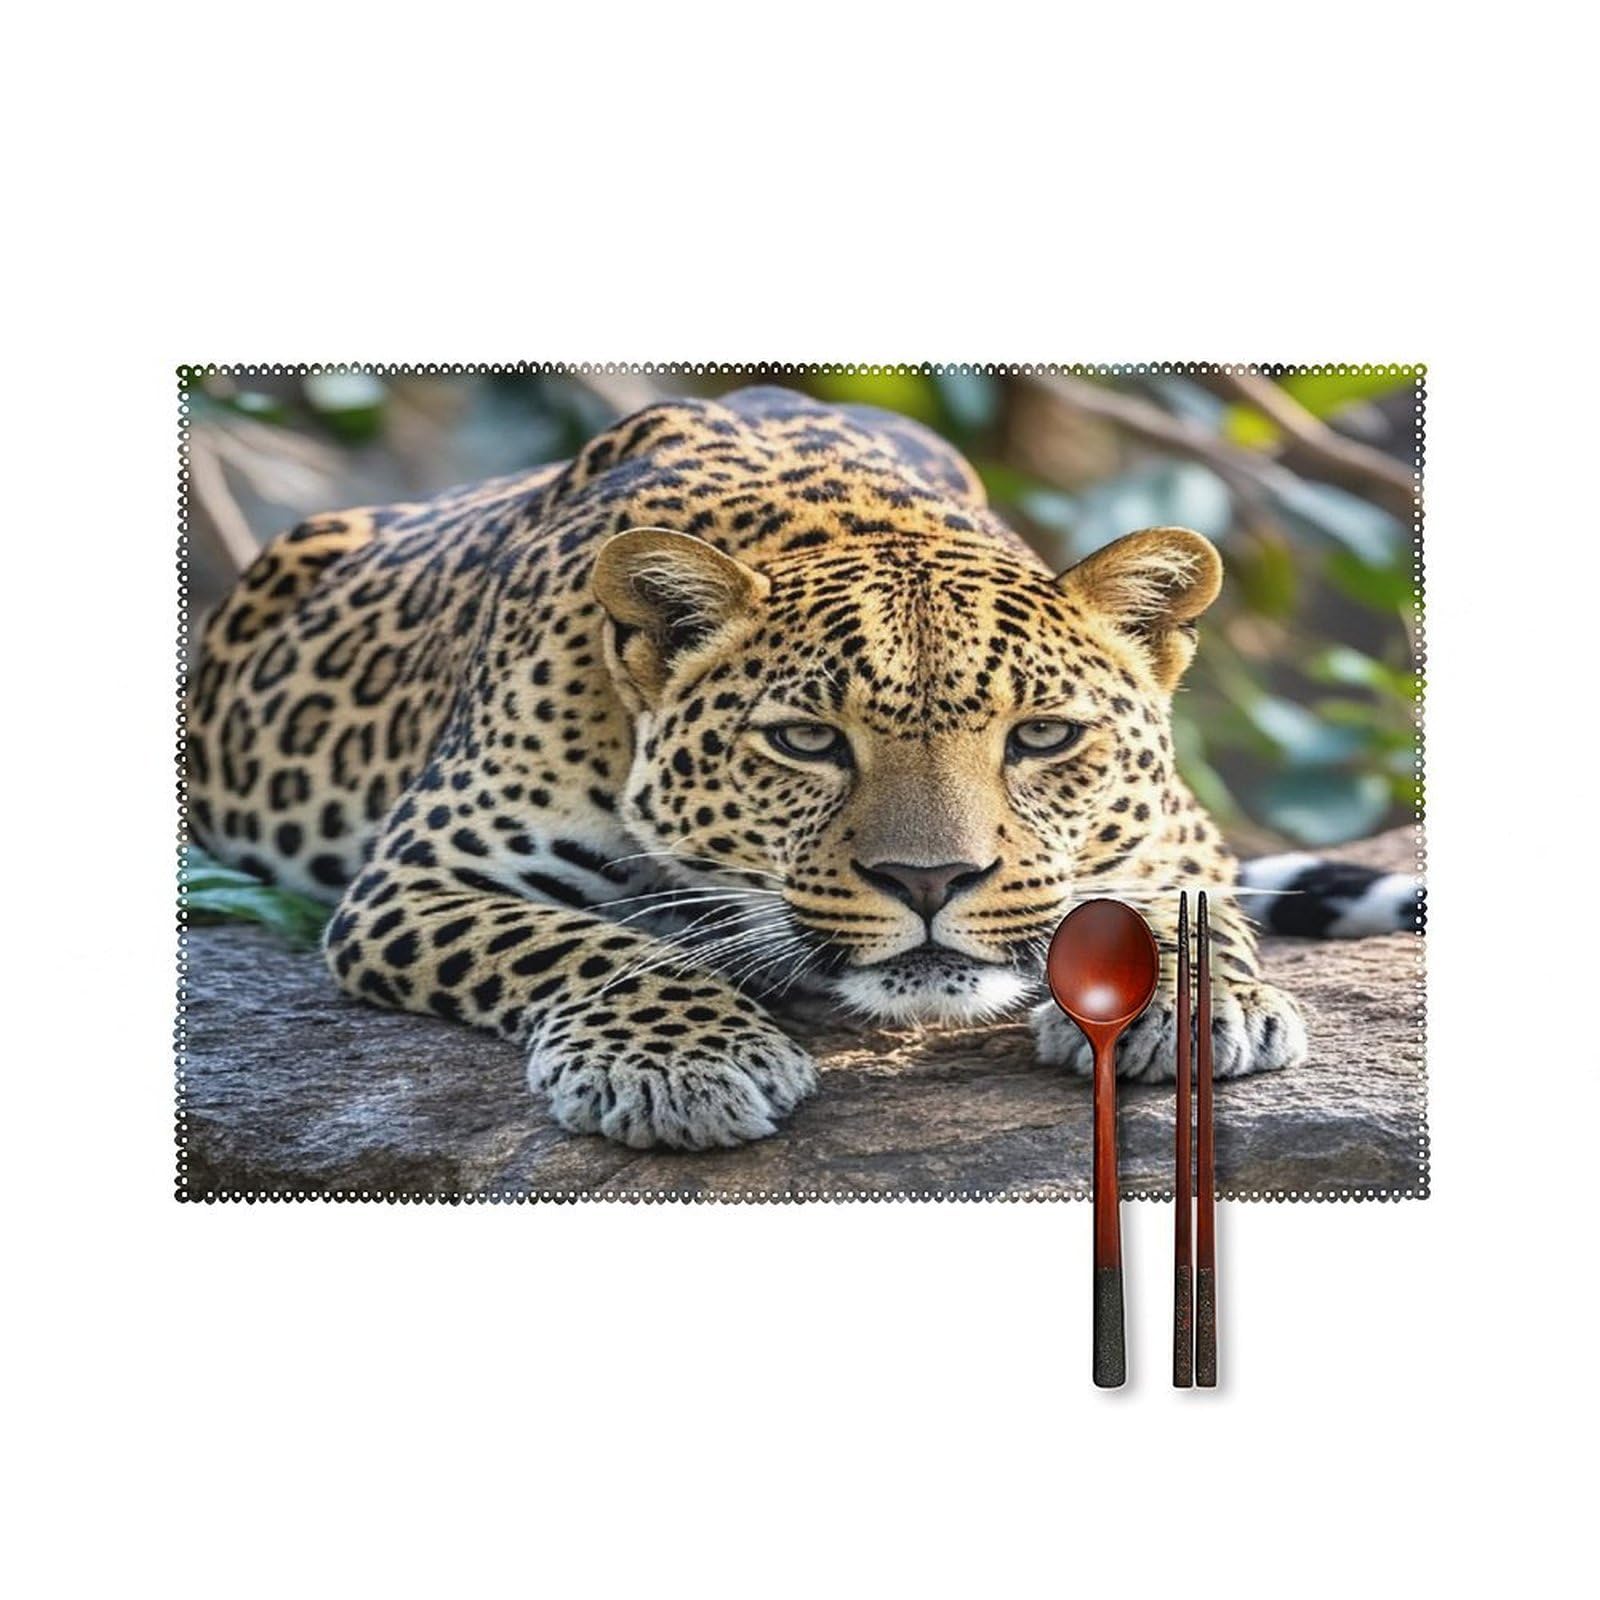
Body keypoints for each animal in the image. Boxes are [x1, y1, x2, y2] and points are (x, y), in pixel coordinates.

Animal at [187, 384, 1412, 1150]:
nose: (930, 882)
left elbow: (1182, 899)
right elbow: (587, 943)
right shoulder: (420, 877)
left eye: (1040, 737)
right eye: (808, 740)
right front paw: (677, 1061)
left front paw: (1194, 1001)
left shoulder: (1177, 825)